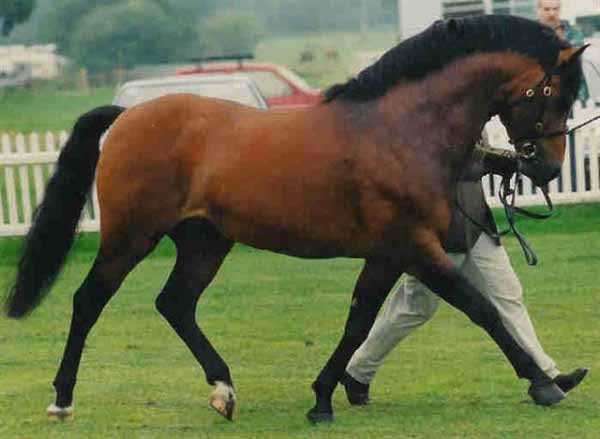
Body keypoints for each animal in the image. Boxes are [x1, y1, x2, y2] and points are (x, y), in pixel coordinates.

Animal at [3, 15, 584, 424]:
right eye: (553, 93)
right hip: (130, 236)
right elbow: (480, 308)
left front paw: (324, 397)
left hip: (205, 241)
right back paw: (61, 400)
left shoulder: (388, 252)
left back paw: (223, 391)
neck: (401, 129)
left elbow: (359, 321)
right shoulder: (414, 246)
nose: (547, 168)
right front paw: (542, 384)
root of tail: (127, 117)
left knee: (175, 304)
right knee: (88, 301)